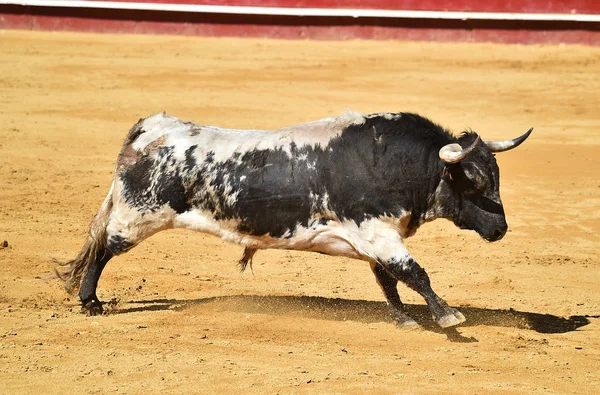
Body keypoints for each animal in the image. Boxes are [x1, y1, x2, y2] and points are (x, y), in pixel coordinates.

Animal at [58, 110, 532, 328]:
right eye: (475, 180)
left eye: (496, 175)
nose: (500, 229)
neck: (393, 164)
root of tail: (150, 129)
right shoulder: (379, 234)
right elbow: (415, 273)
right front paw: (449, 316)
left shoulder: (377, 239)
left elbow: (389, 280)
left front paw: (403, 318)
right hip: (139, 215)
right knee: (103, 249)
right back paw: (90, 301)